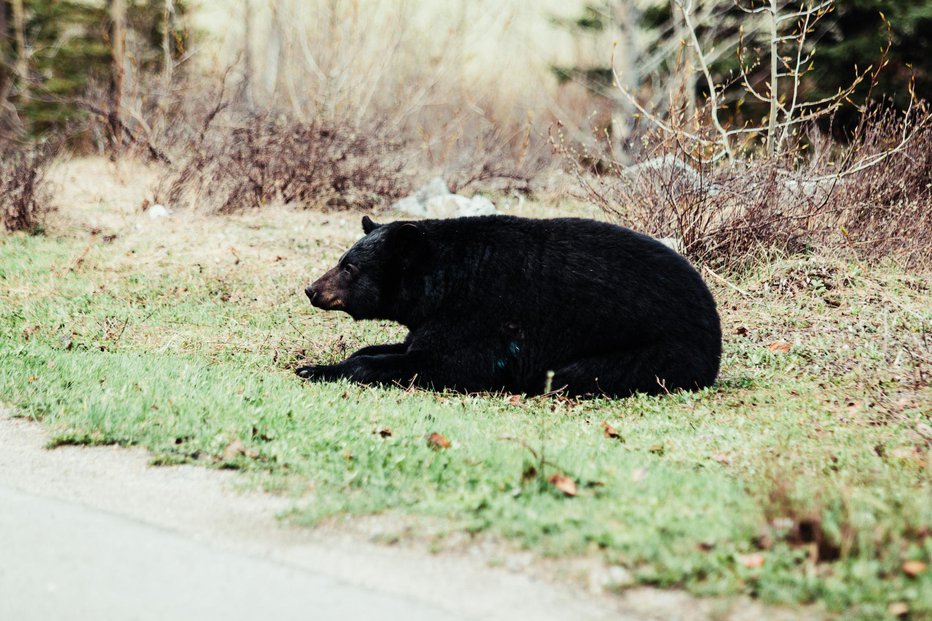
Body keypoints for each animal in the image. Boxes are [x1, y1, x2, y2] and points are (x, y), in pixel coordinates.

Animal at [298, 213, 720, 398]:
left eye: (348, 267)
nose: (310, 289)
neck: (445, 280)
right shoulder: (436, 315)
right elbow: (406, 345)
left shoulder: (481, 313)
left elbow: (452, 363)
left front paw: (318, 369)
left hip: (660, 351)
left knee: (578, 374)